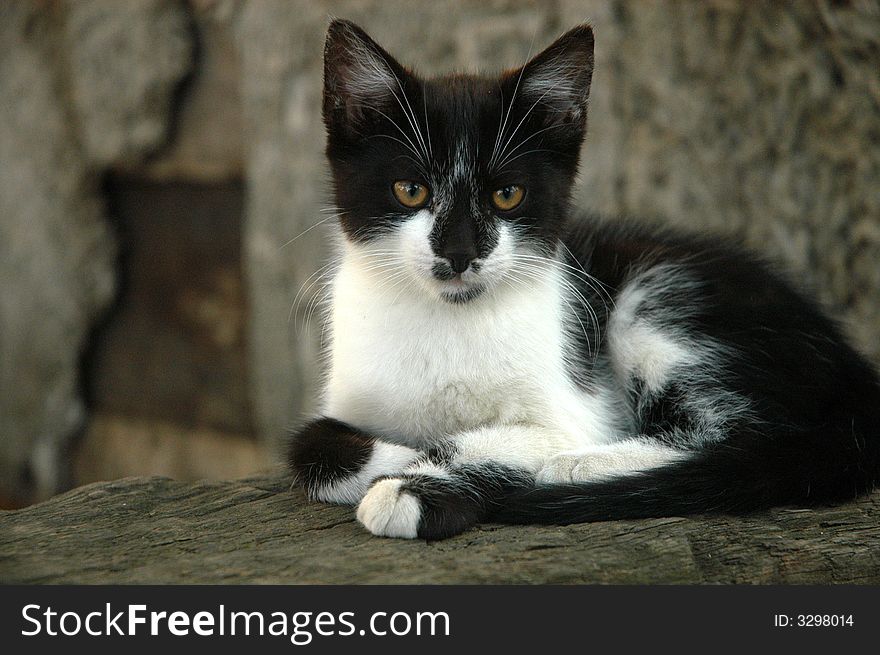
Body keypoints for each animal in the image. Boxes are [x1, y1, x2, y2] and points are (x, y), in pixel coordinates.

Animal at [288, 21, 880, 544]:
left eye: (508, 195)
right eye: (410, 190)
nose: (459, 253)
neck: (446, 316)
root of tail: (853, 373)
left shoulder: (576, 406)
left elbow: (511, 437)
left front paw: (418, 483)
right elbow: (309, 445)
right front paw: (401, 459)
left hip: (659, 296)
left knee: (748, 440)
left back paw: (574, 467)